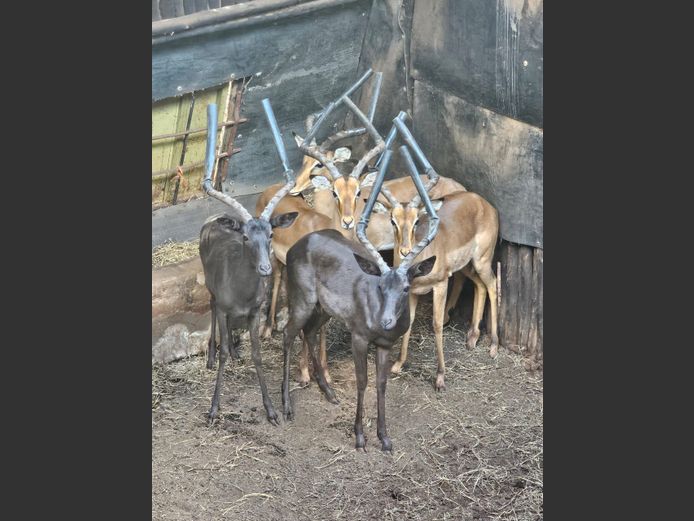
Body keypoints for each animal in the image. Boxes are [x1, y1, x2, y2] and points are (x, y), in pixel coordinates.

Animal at [199, 100, 299, 425]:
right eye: (244, 236)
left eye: (271, 234)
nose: (266, 269)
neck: (241, 294)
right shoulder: (225, 304)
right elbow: (224, 351)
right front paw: (213, 409)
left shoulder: (255, 311)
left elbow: (257, 354)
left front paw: (272, 410)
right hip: (210, 287)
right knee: (212, 307)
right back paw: (211, 356)